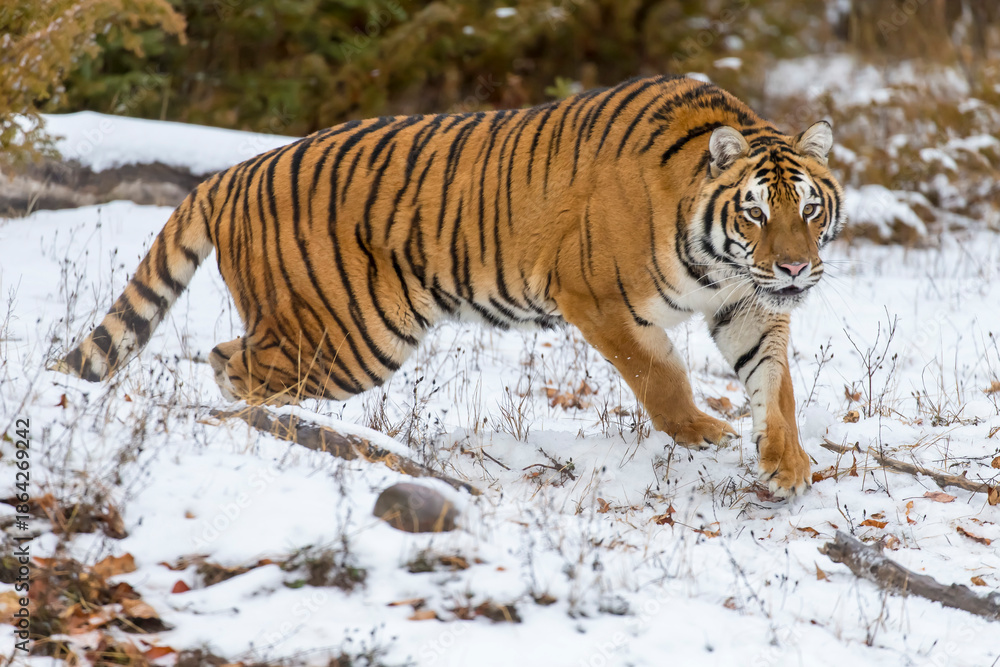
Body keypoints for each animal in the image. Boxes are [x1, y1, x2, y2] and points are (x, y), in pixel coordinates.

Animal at [53, 75, 845, 497]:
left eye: (808, 210)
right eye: (755, 212)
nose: (795, 269)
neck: (723, 259)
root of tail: (232, 171)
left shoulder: (746, 303)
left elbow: (775, 384)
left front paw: (787, 464)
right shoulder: (596, 296)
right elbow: (660, 376)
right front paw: (706, 432)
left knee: (229, 357)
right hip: (351, 337)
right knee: (231, 363)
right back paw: (285, 432)